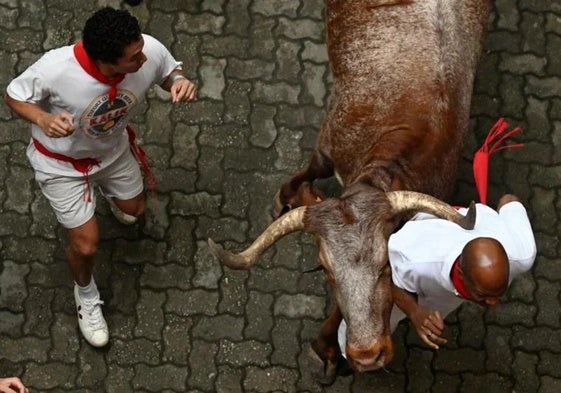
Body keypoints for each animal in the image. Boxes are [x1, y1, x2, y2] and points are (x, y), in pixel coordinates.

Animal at [208, 0, 488, 382]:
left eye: (386, 267)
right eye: (325, 269)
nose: (368, 355)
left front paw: (326, 348)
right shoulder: (328, 143)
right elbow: (314, 169)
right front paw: (286, 196)